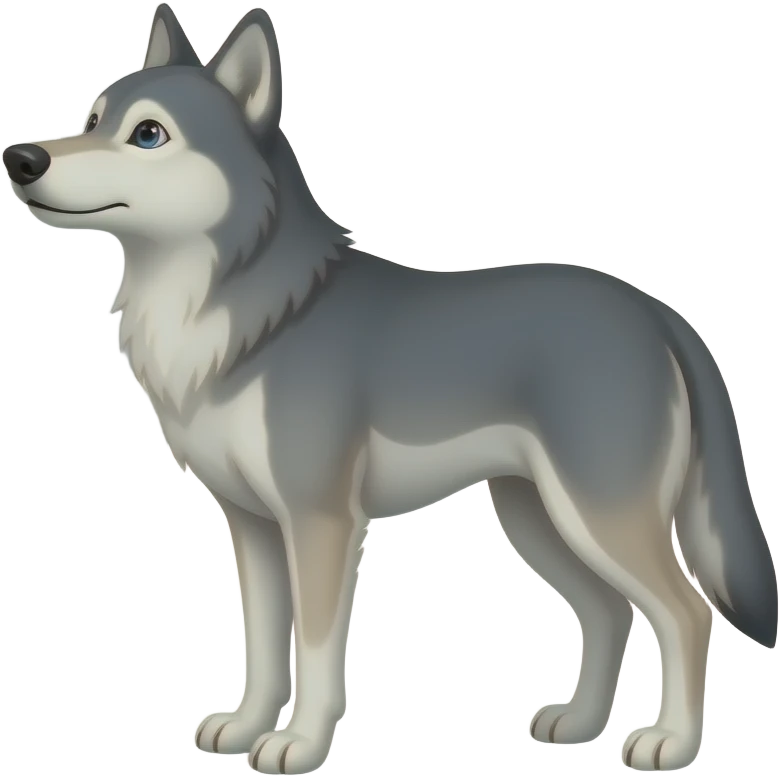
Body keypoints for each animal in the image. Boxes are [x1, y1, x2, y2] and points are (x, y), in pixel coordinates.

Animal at [3, 3, 776, 774]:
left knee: (686, 611)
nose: (21, 158)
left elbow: (316, 654)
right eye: (92, 117)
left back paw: (669, 741)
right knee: (609, 611)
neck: (252, 315)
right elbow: (262, 647)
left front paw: (299, 743)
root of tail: (657, 313)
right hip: (539, 518)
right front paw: (246, 726)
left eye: (148, 133)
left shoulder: (320, 523)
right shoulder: (252, 527)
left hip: (597, 517)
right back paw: (579, 723)